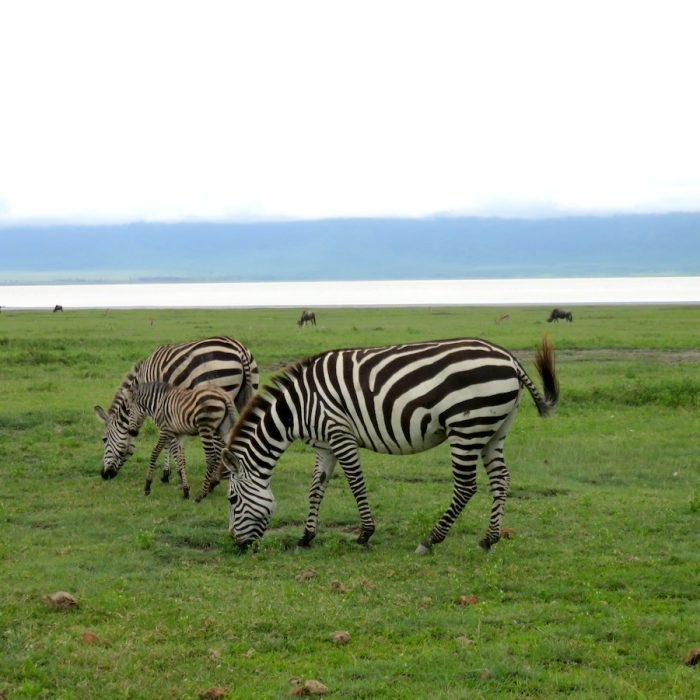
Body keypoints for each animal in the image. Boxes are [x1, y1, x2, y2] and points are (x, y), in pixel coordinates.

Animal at [93, 336, 258, 484]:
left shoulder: (159, 404)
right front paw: (170, 473)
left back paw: (214, 480)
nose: (104, 475)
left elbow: (169, 441)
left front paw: (171, 474)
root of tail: (240, 350)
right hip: (244, 397)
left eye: (104, 439)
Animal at [221, 334, 560, 552]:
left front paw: (365, 534)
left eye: (232, 500)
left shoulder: (340, 433)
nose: (235, 544)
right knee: (501, 480)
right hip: (494, 430)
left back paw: (430, 540)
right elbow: (316, 487)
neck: (297, 408)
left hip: (467, 426)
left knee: (466, 486)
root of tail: (509, 358)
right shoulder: (324, 444)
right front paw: (306, 537)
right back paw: (489, 539)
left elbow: (355, 483)